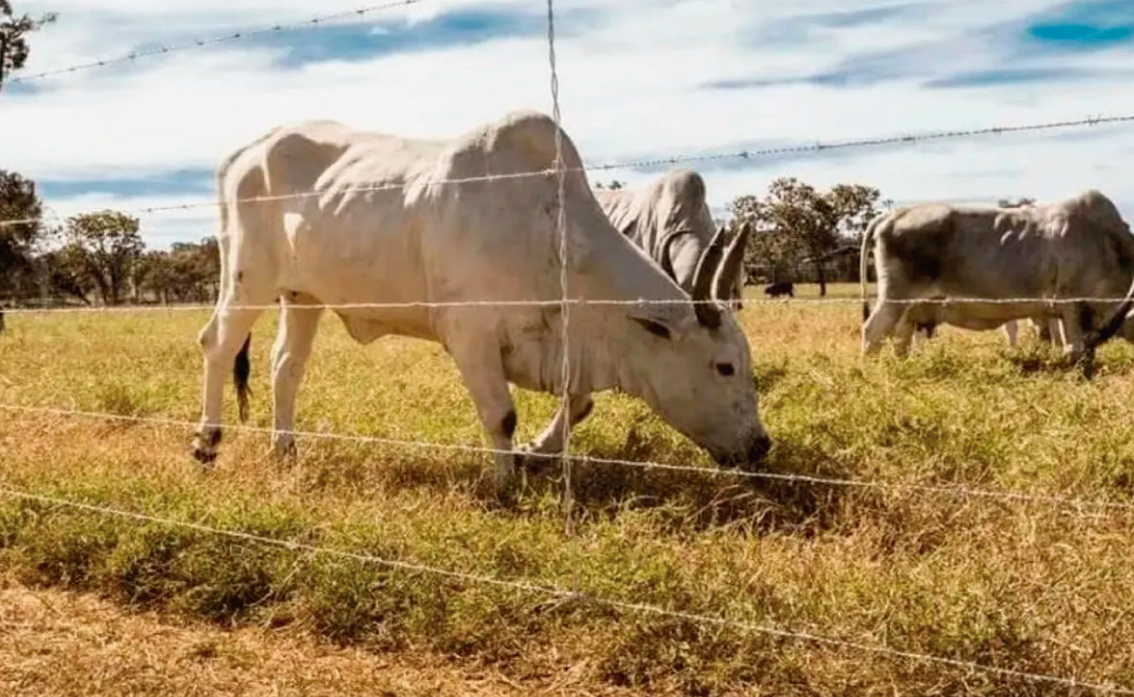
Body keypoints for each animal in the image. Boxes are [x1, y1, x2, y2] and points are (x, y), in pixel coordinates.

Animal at [857, 188, 1134, 374]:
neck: (1110, 242)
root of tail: (893, 215)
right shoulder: (1072, 305)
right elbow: (1075, 349)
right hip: (895, 297)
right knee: (873, 331)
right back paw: (869, 372)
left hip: (910, 309)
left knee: (899, 341)